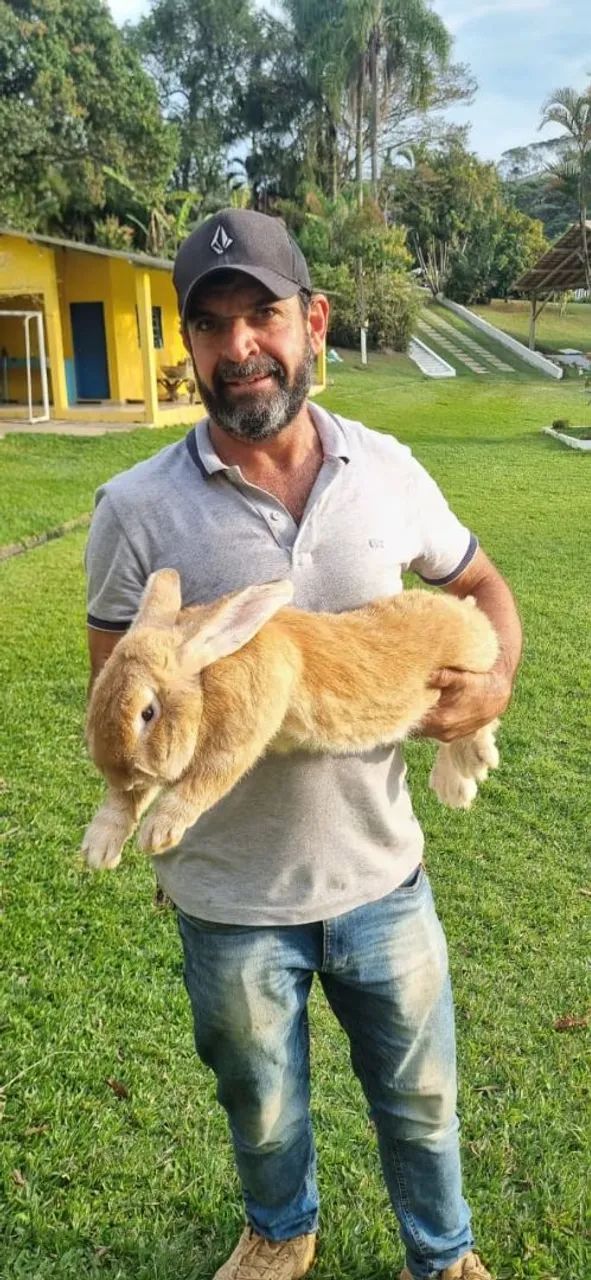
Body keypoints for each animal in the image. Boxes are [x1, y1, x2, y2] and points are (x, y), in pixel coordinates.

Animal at [82, 569, 500, 871]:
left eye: (147, 712)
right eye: (98, 689)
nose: (119, 773)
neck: (208, 671)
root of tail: (468, 612)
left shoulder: (244, 719)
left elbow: (209, 776)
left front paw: (158, 831)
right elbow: (129, 800)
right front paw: (99, 847)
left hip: (470, 675)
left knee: (480, 719)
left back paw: (469, 771)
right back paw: (457, 785)